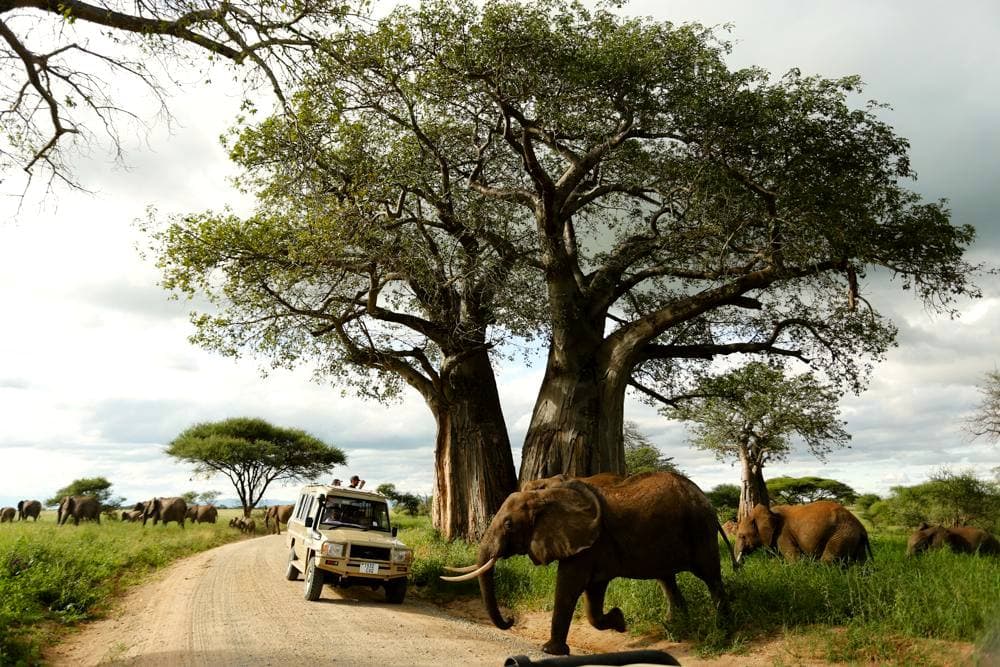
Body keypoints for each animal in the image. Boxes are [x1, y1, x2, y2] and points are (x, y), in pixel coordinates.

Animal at [442, 471, 734, 656]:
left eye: (509, 525)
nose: (511, 619)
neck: (547, 495)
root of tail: (705, 498)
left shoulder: (589, 542)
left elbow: (569, 584)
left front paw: (549, 651)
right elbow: (593, 593)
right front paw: (620, 622)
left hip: (700, 529)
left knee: (711, 577)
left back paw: (723, 631)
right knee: (667, 579)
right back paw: (674, 629)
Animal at [734, 501, 872, 564]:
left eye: (742, 536)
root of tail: (861, 528)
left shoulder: (783, 534)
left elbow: (794, 559)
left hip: (841, 536)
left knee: (828, 561)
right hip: (853, 538)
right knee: (861, 563)